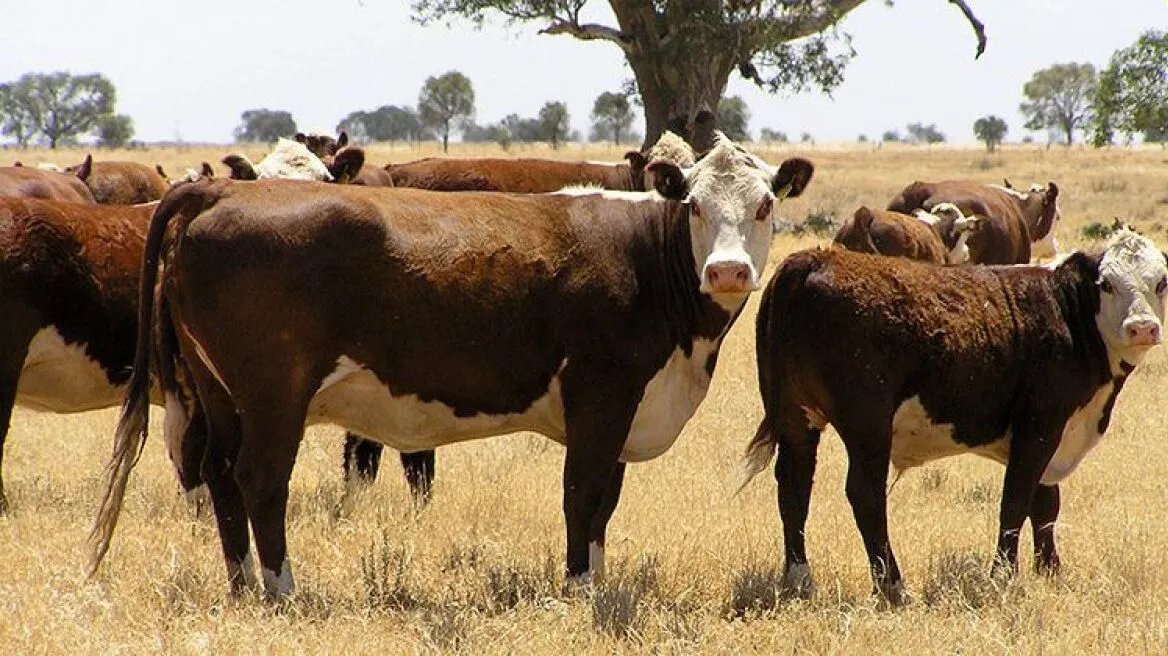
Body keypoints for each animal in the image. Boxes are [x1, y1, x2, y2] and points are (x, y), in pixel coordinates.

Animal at [91, 134, 817, 597]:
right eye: (694, 203)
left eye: (765, 204)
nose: (728, 270)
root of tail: (217, 192)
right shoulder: (601, 395)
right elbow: (581, 495)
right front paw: (580, 588)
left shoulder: (624, 410)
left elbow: (604, 504)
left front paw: (600, 578)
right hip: (275, 394)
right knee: (260, 479)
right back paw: (281, 588)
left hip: (220, 392)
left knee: (218, 475)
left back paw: (242, 581)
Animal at [738, 228, 1168, 602]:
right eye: (1106, 283)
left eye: (1161, 282)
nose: (1143, 327)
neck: (1067, 313)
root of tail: (814, 259)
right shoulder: (1041, 425)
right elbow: (1016, 500)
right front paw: (1003, 576)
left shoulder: (1054, 433)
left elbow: (1045, 504)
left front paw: (1051, 572)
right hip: (867, 424)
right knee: (864, 493)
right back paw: (893, 587)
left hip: (796, 418)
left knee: (793, 488)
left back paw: (799, 579)